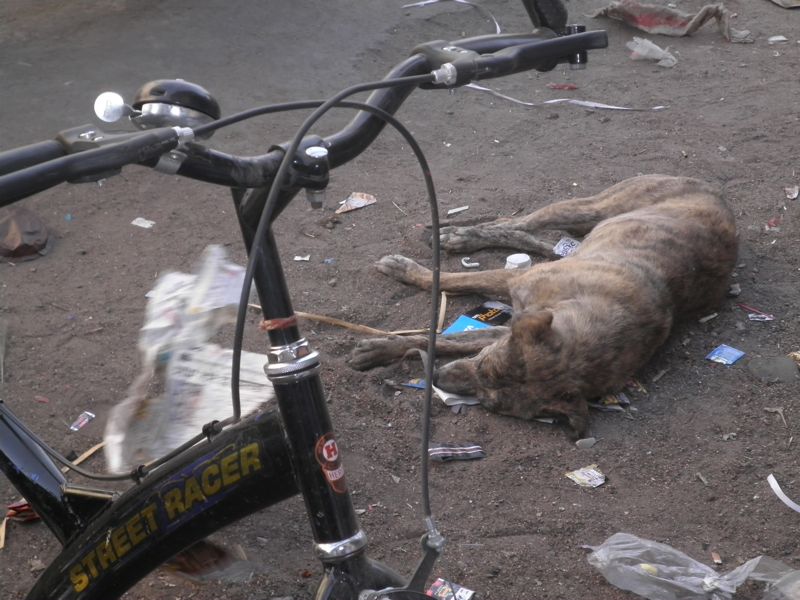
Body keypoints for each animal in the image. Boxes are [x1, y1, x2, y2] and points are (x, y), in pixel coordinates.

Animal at [350, 173, 736, 436]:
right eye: (485, 366)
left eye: (489, 402)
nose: (438, 379)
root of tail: (714, 188)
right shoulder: (515, 289)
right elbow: (447, 283)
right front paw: (404, 276)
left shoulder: (507, 330)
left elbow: (445, 340)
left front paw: (381, 348)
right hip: (587, 207)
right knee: (516, 223)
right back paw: (459, 236)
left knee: (532, 237)